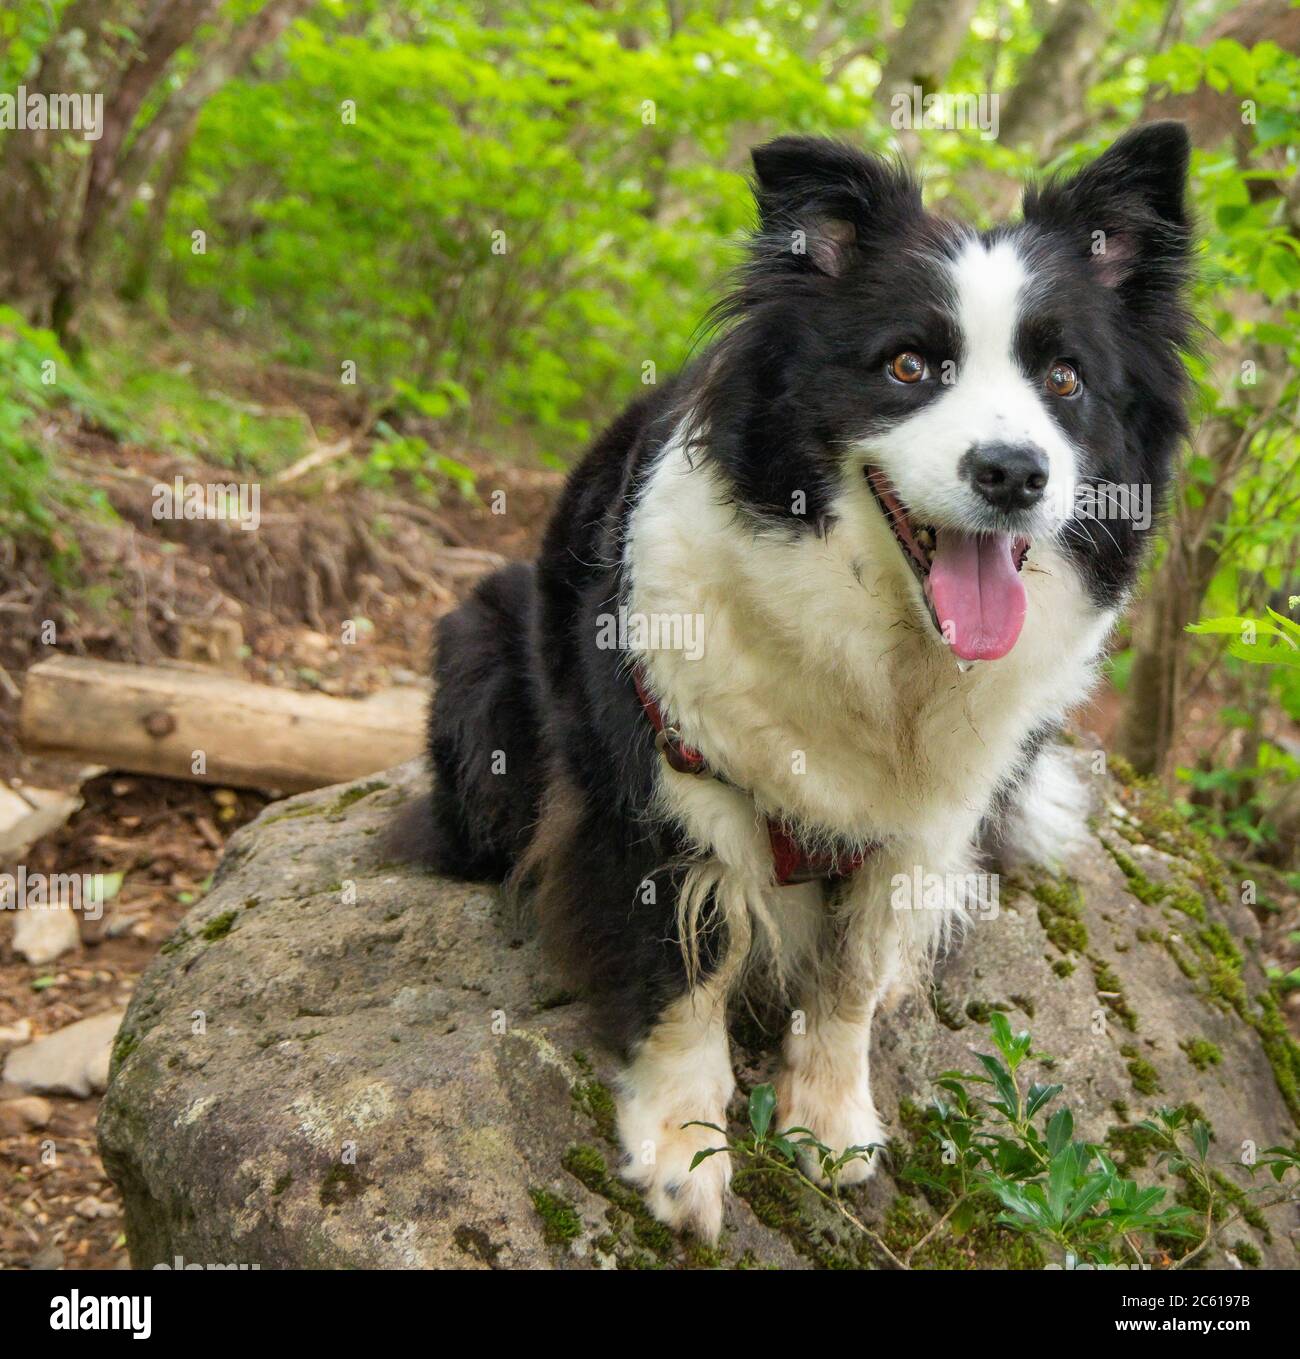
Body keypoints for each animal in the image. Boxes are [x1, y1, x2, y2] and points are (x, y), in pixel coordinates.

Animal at [423, 125, 1184, 1244]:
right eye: (909, 365)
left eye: (1064, 378)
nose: (1013, 472)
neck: (885, 644)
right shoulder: (663, 777)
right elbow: (683, 967)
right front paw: (682, 1150)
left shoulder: (920, 824)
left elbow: (852, 976)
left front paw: (829, 1121)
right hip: (481, 678)